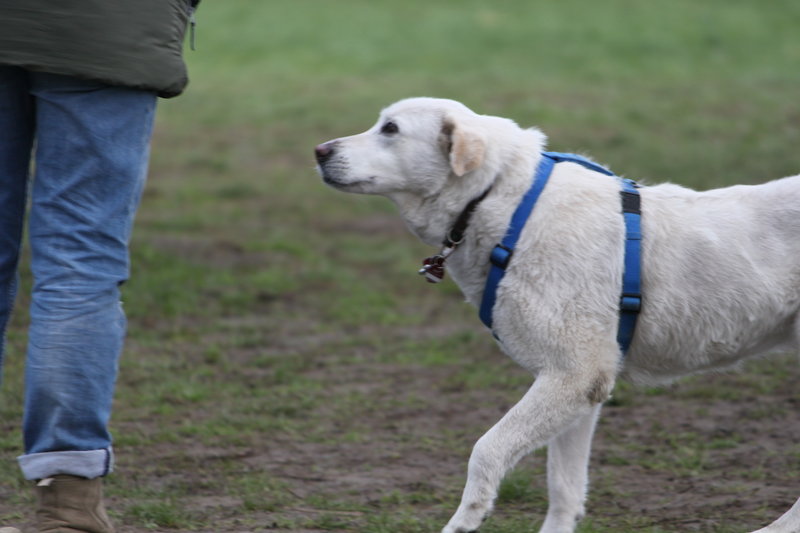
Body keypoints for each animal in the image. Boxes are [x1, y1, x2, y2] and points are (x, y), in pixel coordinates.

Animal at [314, 97, 800, 528]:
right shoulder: (579, 389)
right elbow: (564, 488)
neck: (503, 205)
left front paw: (466, 519)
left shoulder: (575, 374)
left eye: (390, 129)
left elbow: (486, 449)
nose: (319, 151)